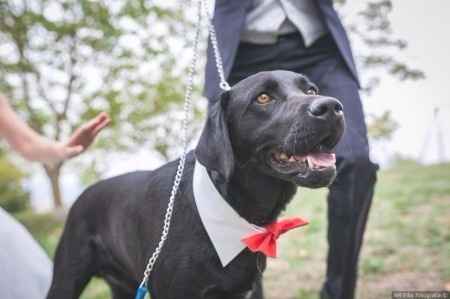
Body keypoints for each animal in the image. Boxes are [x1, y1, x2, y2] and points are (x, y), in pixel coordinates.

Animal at [47, 71, 344, 299]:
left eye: (311, 89)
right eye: (263, 97)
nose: (332, 107)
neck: (231, 208)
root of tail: (84, 194)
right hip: (66, 278)